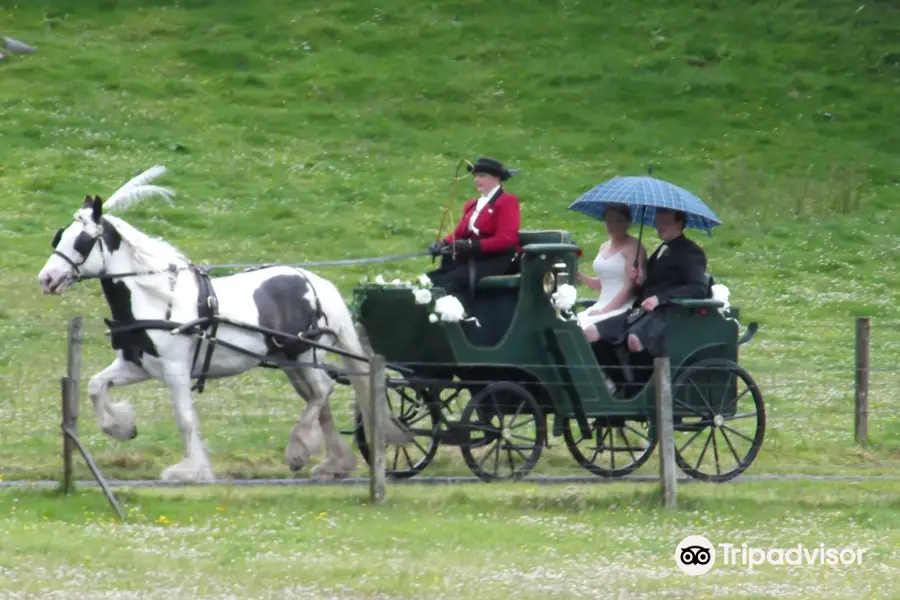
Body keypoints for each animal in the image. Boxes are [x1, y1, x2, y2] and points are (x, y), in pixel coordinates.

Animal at [35, 166, 412, 486]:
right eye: (59, 236)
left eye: (81, 241)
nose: (47, 279)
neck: (156, 297)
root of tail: (314, 281)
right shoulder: (136, 364)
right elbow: (96, 386)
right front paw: (121, 427)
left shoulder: (175, 369)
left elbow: (184, 418)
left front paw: (190, 471)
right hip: (290, 360)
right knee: (318, 399)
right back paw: (334, 462)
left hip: (305, 352)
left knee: (322, 390)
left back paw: (299, 450)